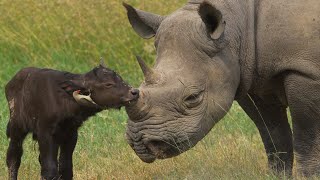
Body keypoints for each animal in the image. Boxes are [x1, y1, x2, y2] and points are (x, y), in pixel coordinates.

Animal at [123, 0, 320, 175]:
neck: (235, 27)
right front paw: (277, 175)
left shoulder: (305, 71)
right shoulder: (251, 76)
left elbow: (307, 140)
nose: (140, 143)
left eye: (193, 97)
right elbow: (274, 136)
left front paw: (308, 176)